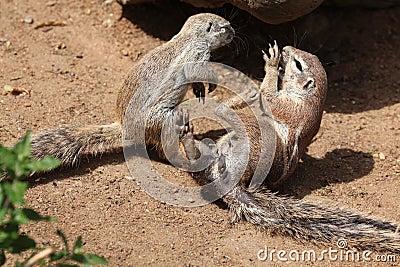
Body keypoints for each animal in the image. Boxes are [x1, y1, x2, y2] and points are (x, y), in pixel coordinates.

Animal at [30, 13, 234, 166]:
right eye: (224, 27)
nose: (233, 31)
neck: (187, 37)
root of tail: (124, 127)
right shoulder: (197, 52)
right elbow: (197, 70)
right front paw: (212, 81)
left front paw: (199, 88)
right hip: (161, 120)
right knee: (163, 149)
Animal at [181, 43, 400, 253]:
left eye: (298, 64)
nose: (286, 49)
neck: (306, 97)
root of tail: (234, 185)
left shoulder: (285, 103)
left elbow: (267, 94)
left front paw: (271, 64)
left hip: (256, 133)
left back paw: (219, 114)